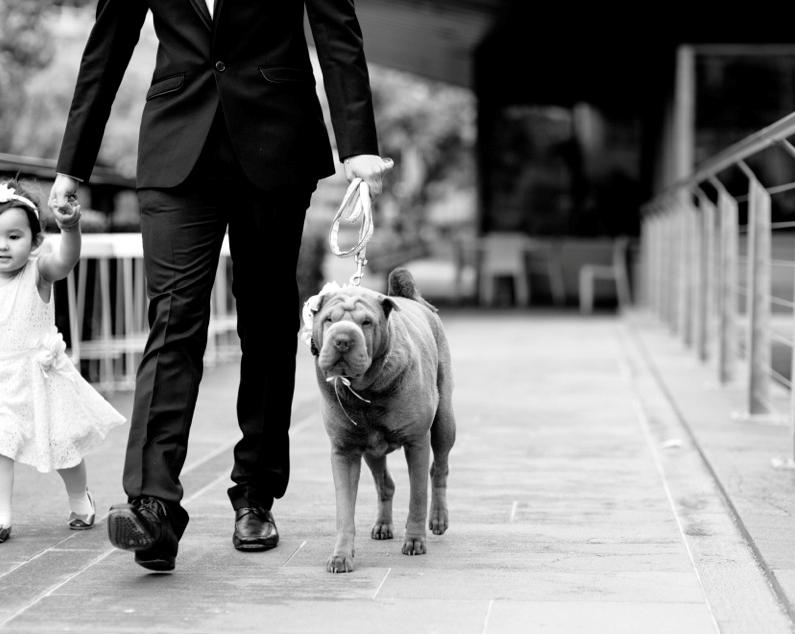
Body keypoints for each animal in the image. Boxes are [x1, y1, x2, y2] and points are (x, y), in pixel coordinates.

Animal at [302, 266, 458, 572]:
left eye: (366, 322)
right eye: (329, 319)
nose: (342, 340)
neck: (365, 390)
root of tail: (410, 298)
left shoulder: (417, 443)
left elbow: (418, 496)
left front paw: (414, 541)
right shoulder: (344, 451)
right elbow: (345, 510)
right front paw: (341, 555)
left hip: (444, 421)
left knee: (439, 469)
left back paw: (438, 519)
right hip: (371, 450)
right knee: (385, 483)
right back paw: (383, 525)